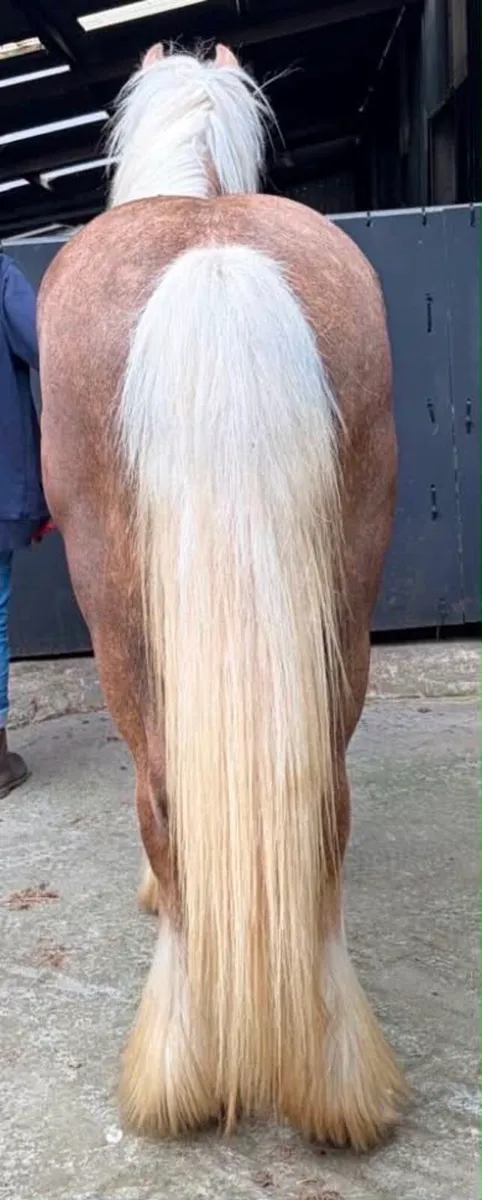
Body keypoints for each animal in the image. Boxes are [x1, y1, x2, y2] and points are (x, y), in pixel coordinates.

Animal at [37, 42, 407, 1150]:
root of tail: (213, 255)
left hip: (119, 618)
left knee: (165, 801)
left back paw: (178, 1069)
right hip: (343, 600)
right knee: (321, 797)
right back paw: (336, 1078)